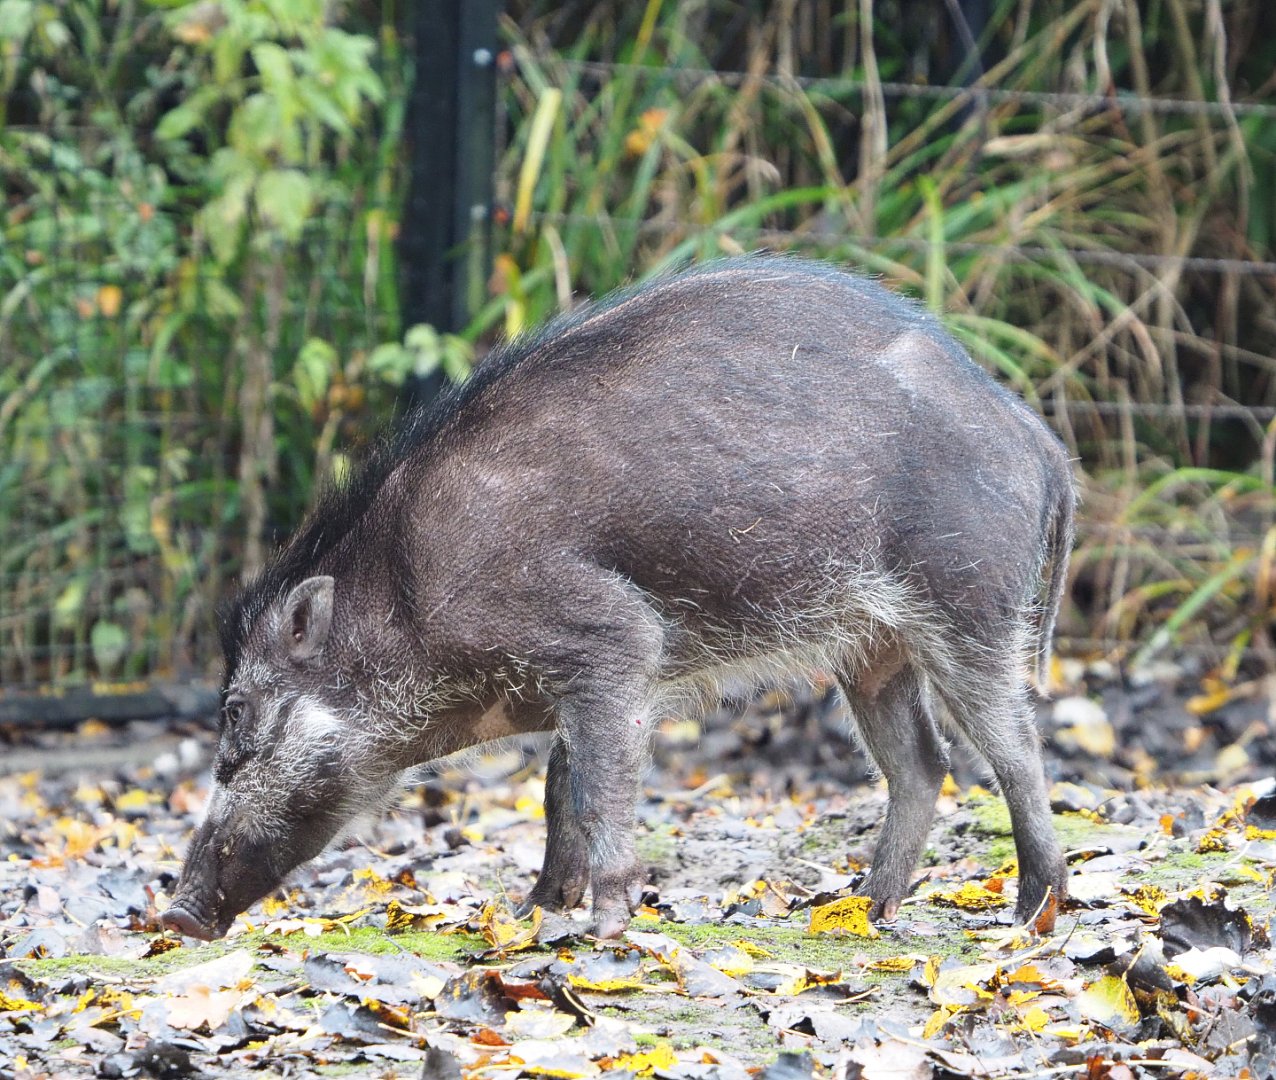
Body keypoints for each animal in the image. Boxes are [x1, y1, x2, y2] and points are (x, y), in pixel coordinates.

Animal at [161, 255, 1074, 941]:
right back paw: (857, 909)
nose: (175, 915)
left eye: (237, 713)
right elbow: (560, 784)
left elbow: (597, 784)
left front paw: (601, 927)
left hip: (969, 600)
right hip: (873, 646)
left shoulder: (610, 637)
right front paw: (536, 911)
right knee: (922, 760)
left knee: (1013, 743)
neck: (410, 599)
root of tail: (1037, 436)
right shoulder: (584, 680)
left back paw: (1033, 911)